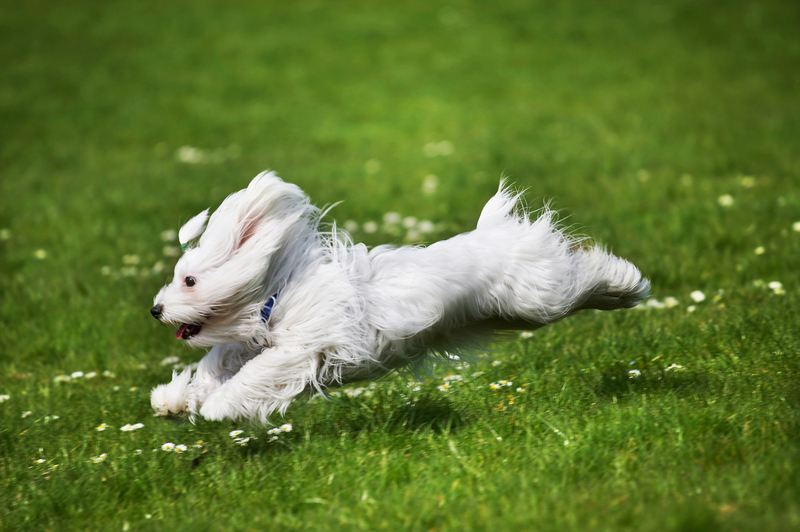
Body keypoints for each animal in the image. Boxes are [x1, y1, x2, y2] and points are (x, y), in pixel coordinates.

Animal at [152, 174, 648, 424]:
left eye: (189, 280)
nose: (156, 310)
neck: (278, 294)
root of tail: (496, 233)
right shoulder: (250, 342)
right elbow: (215, 363)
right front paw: (174, 400)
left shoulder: (303, 346)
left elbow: (257, 373)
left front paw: (216, 406)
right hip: (507, 313)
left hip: (536, 296)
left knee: (581, 275)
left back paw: (628, 284)